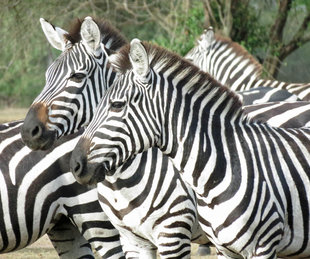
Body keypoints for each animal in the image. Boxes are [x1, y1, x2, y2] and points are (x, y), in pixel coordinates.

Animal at [20, 15, 212, 258]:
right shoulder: (131, 239)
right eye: (47, 76)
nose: (28, 131)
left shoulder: (174, 233)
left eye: (77, 76)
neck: (121, 182)